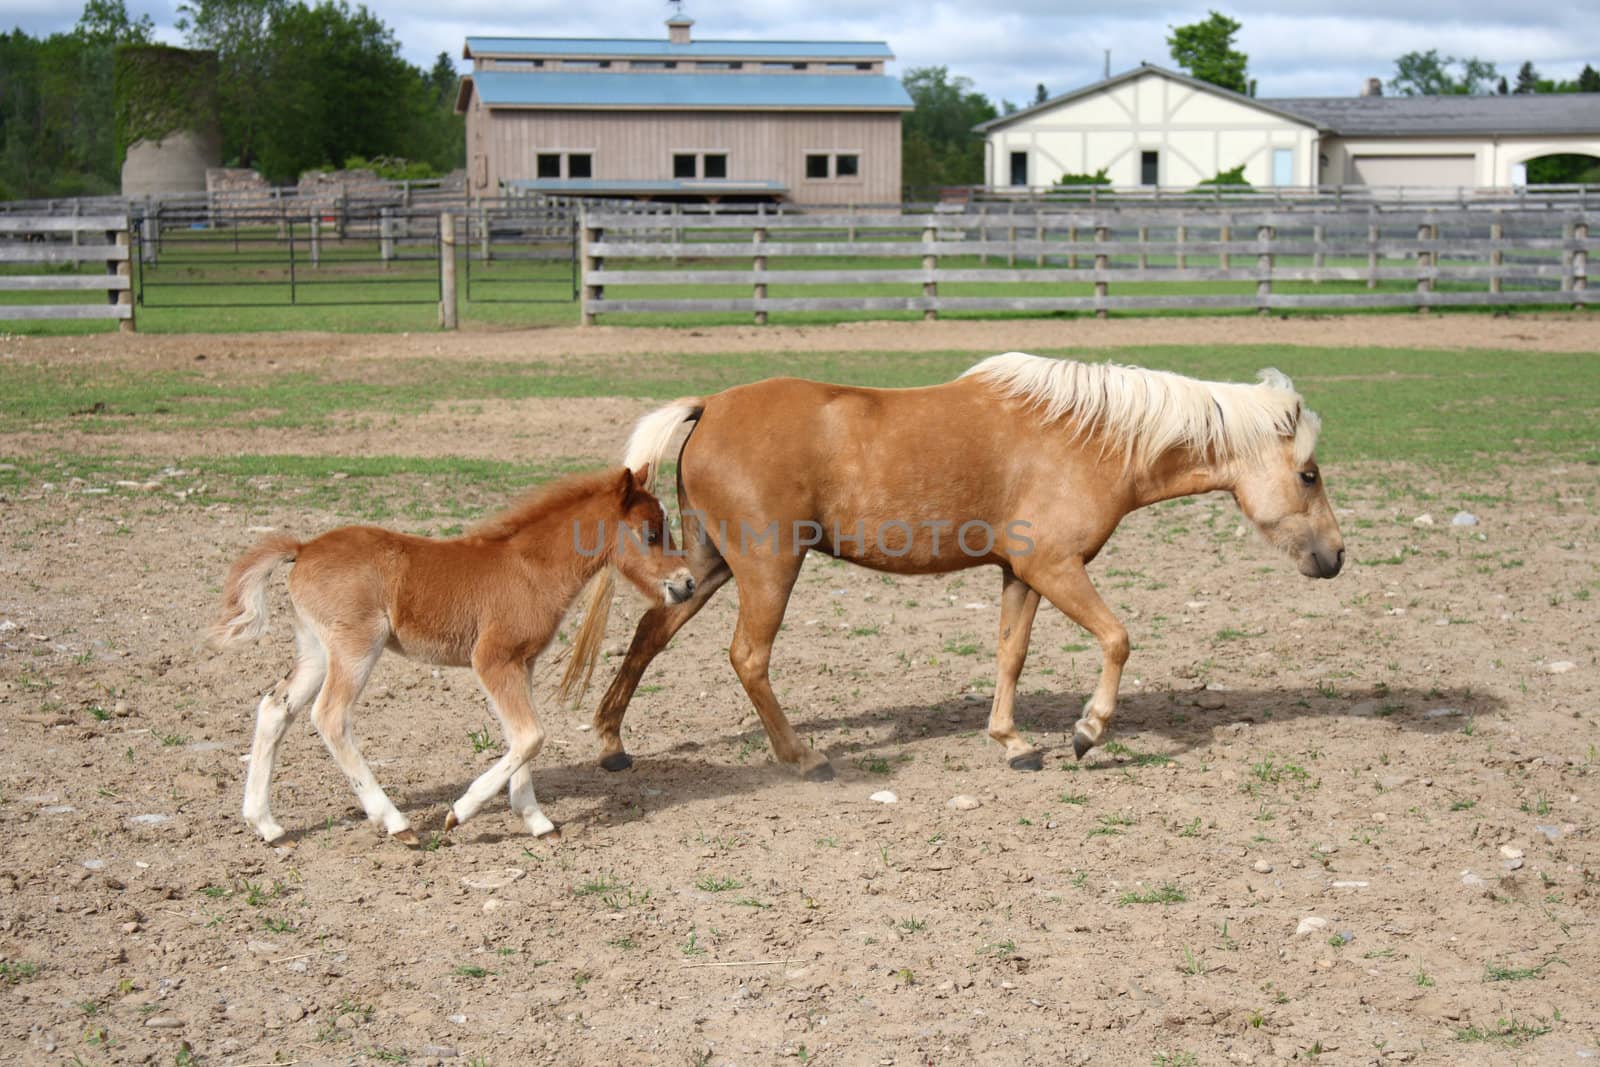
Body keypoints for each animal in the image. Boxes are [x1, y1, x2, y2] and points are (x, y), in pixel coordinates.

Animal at [211, 463, 694, 844]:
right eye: (651, 533)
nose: (686, 584)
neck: (530, 569)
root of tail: (304, 549)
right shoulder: (493, 659)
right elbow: (531, 736)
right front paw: (459, 813)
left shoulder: (521, 664)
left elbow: (520, 737)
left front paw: (536, 820)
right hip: (356, 646)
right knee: (330, 716)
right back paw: (396, 823)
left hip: (315, 649)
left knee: (275, 708)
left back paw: (265, 824)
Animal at [569, 355, 1344, 780]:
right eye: (1308, 474)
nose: (1335, 556)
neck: (1090, 436)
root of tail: (710, 409)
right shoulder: (1056, 567)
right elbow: (1118, 639)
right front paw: (1087, 732)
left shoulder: (1021, 574)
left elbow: (1011, 654)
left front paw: (1012, 742)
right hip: (768, 569)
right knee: (748, 658)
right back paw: (806, 758)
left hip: (707, 566)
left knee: (649, 635)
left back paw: (612, 744)